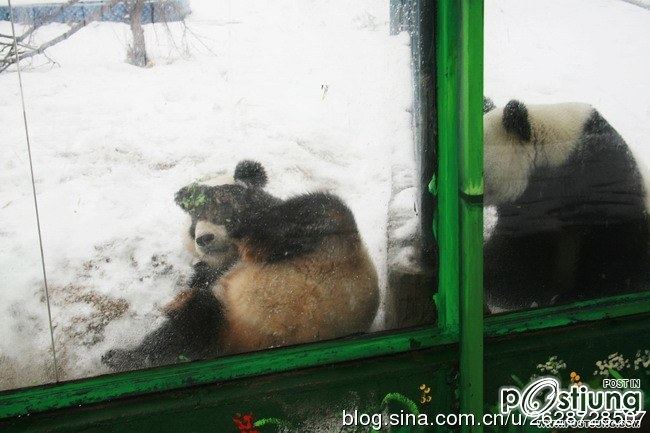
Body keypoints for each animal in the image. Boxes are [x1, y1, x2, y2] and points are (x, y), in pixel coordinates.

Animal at [103, 160, 379, 370]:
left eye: (216, 210)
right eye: (194, 221)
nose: (203, 238)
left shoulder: (315, 239)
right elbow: (208, 275)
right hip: (224, 321)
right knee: (184, 331)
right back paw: (124, 354)